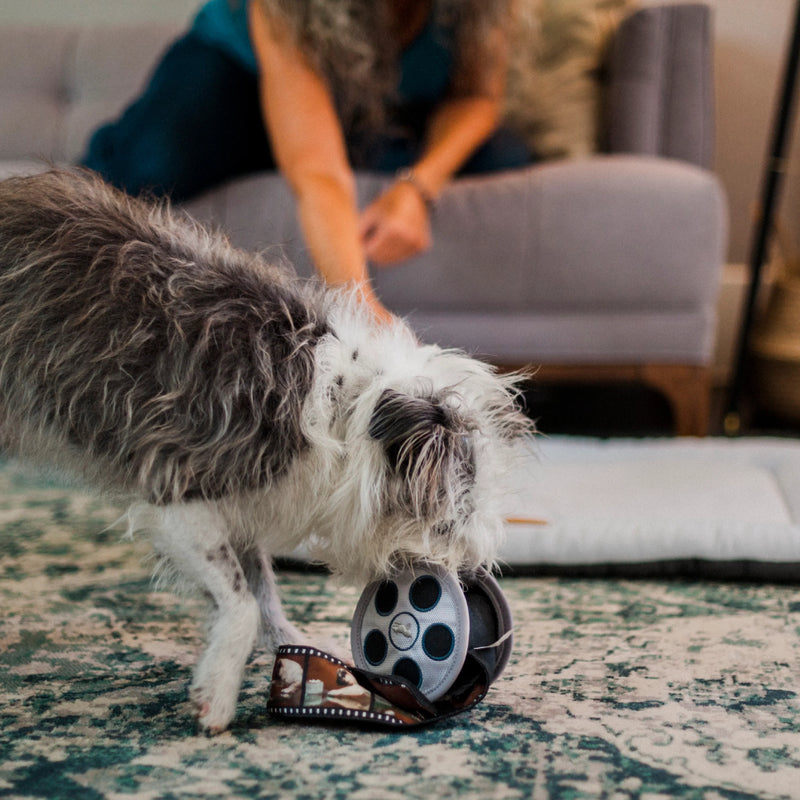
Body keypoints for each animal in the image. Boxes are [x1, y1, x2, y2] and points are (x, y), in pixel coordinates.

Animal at [0, 169, 532, 732]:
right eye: (448, 525)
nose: (470, 579)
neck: (340, 404)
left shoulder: (240, 506)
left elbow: (263, 591)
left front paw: (295, 655)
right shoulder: (178, 494)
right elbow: (241, 601)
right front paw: (217, 696)